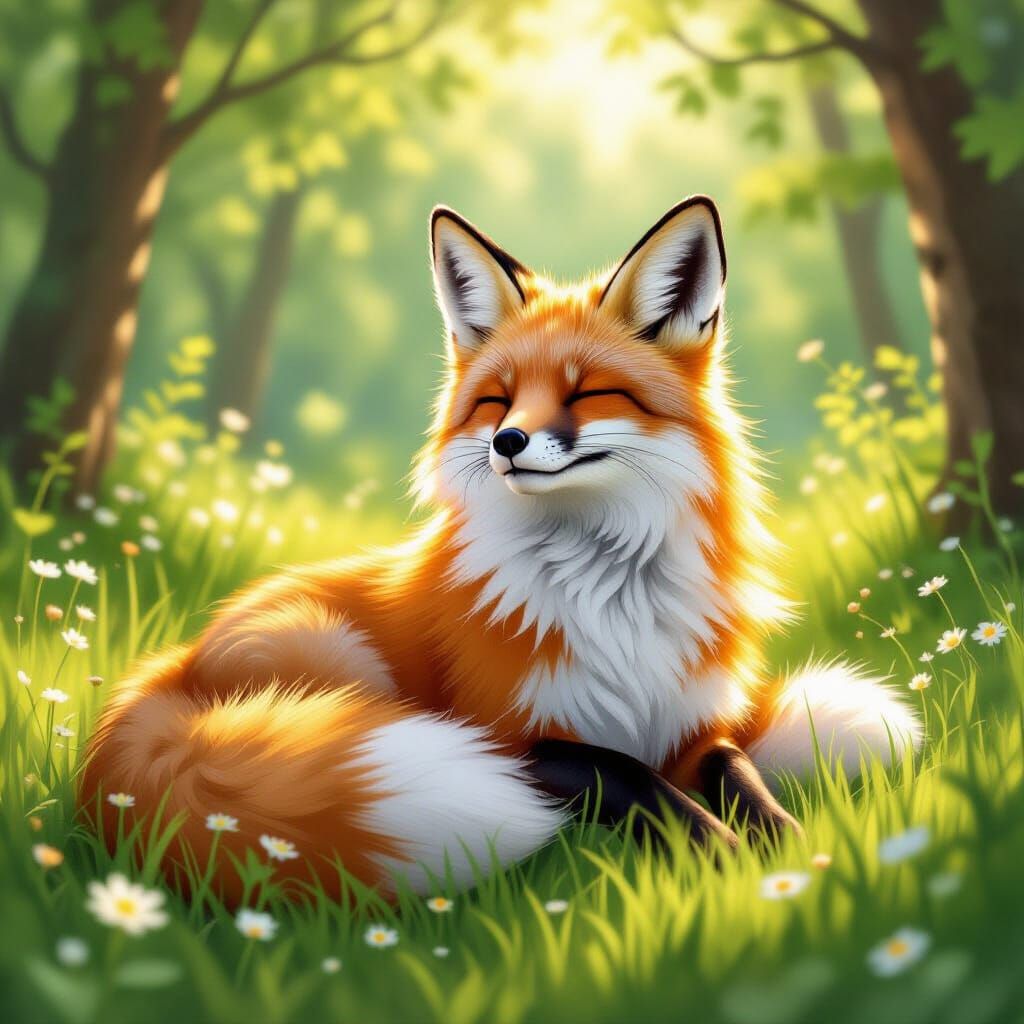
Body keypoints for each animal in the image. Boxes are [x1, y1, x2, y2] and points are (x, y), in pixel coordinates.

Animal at [81, 196, 923, 902]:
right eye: (498, 400)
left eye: (587, 393)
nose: (507, 442)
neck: (609, 598)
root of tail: (168, 666)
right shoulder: (515, 738)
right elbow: (630, 778)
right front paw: (733, 859)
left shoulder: (693, 724)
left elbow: (739, 771)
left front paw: (798, 846)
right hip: (344, 672)